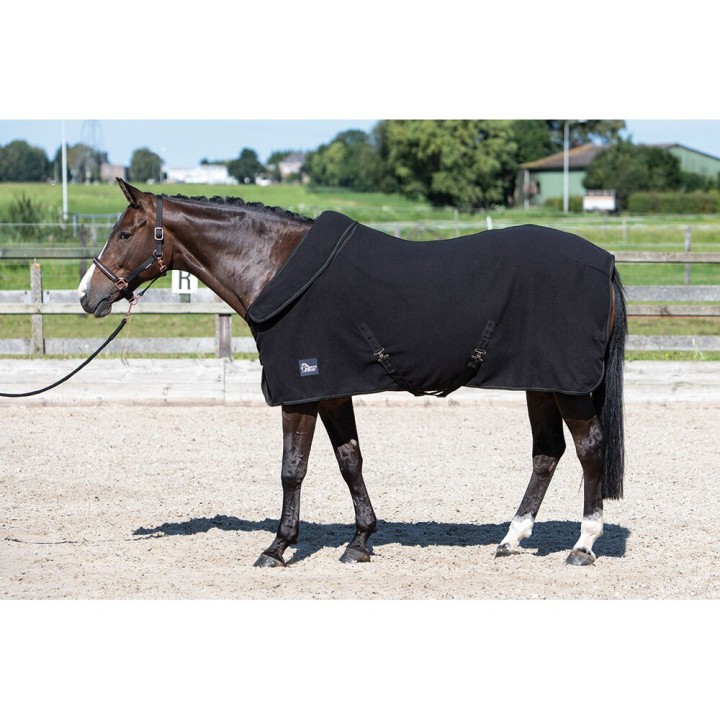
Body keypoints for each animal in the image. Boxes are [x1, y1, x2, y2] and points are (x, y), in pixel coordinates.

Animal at [79, 179, 627, 568]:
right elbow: (350, 461)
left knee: (589, 447)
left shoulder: (302, 391)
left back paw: (583, 544)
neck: (276, 267)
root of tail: (605, 262)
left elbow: (292, 469)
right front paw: (360, 541)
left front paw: (277, 547)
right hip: (542, 383)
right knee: (547, 453)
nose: (88, 295)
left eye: (124, 233)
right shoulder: (333, 391)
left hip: (567, 387)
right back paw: (512, 538)